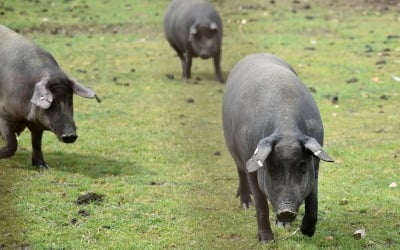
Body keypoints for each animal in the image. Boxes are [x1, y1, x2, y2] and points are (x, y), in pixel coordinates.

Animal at [0, 24, 100, 168]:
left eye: (69, 99)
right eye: (52, 102)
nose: (70, 135)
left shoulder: (35, 122)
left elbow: (37, 143)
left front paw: (43, 167)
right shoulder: (3, 116)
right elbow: (12, 144)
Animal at [222, 53, 334, 243]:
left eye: (302, 165)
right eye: (272, 166)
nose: (286, 211)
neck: (286, 130)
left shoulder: (316, 163)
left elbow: (313, 201)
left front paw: (306, 232)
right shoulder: (251, 164)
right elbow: (261, 205)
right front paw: (267, 240)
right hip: (235, 152)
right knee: (240, 172)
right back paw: (246, 205)